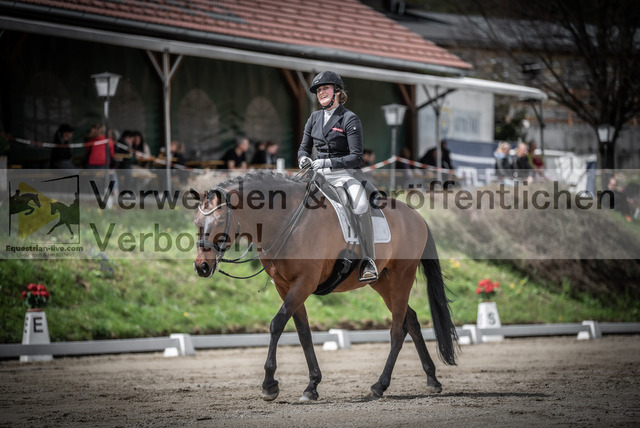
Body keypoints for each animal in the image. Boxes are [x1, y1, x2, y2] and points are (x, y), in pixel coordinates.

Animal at [193, 170, 457, 401]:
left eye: (219, 221)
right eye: (197, 222)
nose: (201, 267)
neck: (286, 219)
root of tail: (416, 217)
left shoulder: (304, 283)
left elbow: (276, 324)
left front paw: (269, 385)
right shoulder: (285, 286)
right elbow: (303, 333)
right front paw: (312, 385)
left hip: (402, 276)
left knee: (397, 330)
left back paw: (380, 385)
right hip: (383, 282)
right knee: (410, 320)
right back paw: (432, 379)